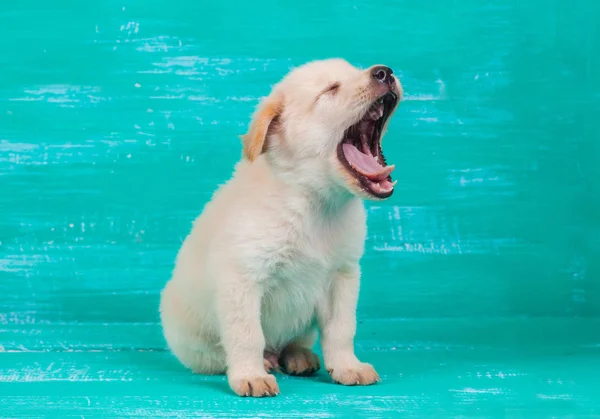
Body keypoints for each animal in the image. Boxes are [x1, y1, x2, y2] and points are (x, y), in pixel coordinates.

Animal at [159, 58, 404, 398]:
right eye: (330, 90)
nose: (385, 71)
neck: (316, 203)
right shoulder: (242, 278)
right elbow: (247, 335)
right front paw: (250, 375)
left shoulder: (342, 276)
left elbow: (341, 330)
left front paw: (347, 367)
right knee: (221, 353)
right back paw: (259, 363)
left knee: (294, 342)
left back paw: (298, 356)